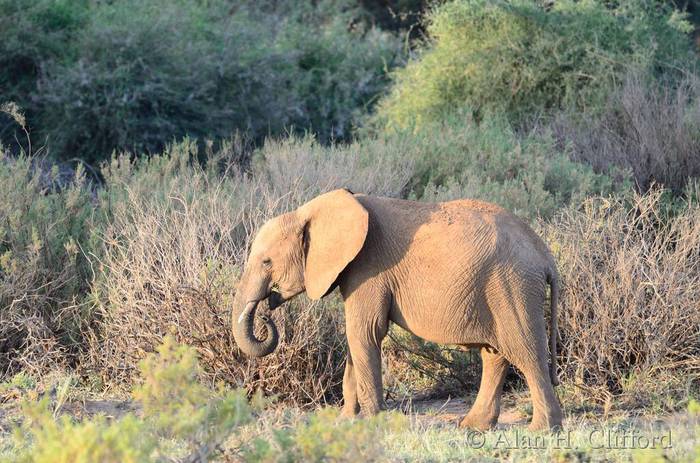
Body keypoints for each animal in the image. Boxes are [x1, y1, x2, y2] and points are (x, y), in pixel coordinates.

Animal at [231, 189, 563, 430]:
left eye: (266, 262)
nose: (266, 314)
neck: (310, 211)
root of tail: (545, 256)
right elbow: (355, 340)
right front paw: (346, 422)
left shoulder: (369, 269)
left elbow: (364, 333)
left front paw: (374, 421)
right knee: (495, 354)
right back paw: (472, 427)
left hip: (512, 285)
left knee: (526, 351)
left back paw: (542, 430)